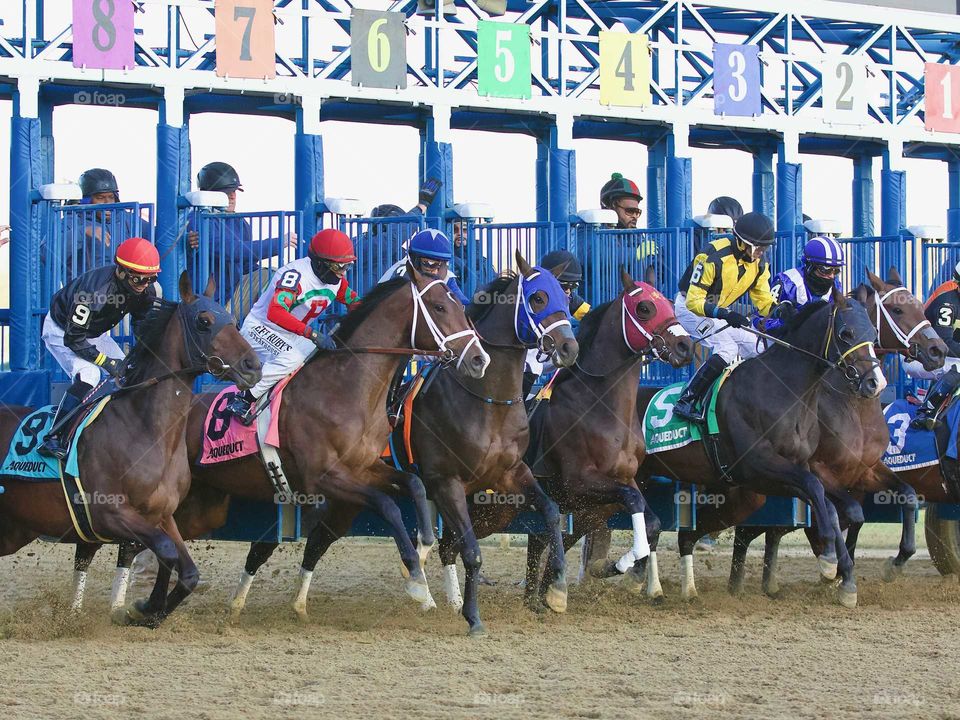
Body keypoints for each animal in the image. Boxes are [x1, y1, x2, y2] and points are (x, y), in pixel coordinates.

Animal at [0, 272, 260, 628]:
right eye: (204, 321)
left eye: (233, 321)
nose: (254, 365)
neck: (144, 428)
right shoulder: (108, 513)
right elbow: (166, 552)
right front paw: (145, 606)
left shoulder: (162, 514)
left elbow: (187, 571)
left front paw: (150, 612)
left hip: (14, 529)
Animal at [516, 268, 696, 600]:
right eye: (644, 308)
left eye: (668, 303)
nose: (685, 347)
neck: (600, 406)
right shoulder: (578, 483)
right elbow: (632, 504)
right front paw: (623, 566)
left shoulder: (622, 481)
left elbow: (651, 520)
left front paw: (626, 570)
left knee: (539, 541)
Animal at [636, 292, 884, 608]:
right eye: (846, 333)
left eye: (874, 334)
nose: (874, 383)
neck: (784, 391)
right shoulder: (758, 464)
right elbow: (815, 489)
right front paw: (830, 562)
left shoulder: (795, 468)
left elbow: (827, 502)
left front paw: (844, 579)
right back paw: (647, 586)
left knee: (681, 535)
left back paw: (683, 589)